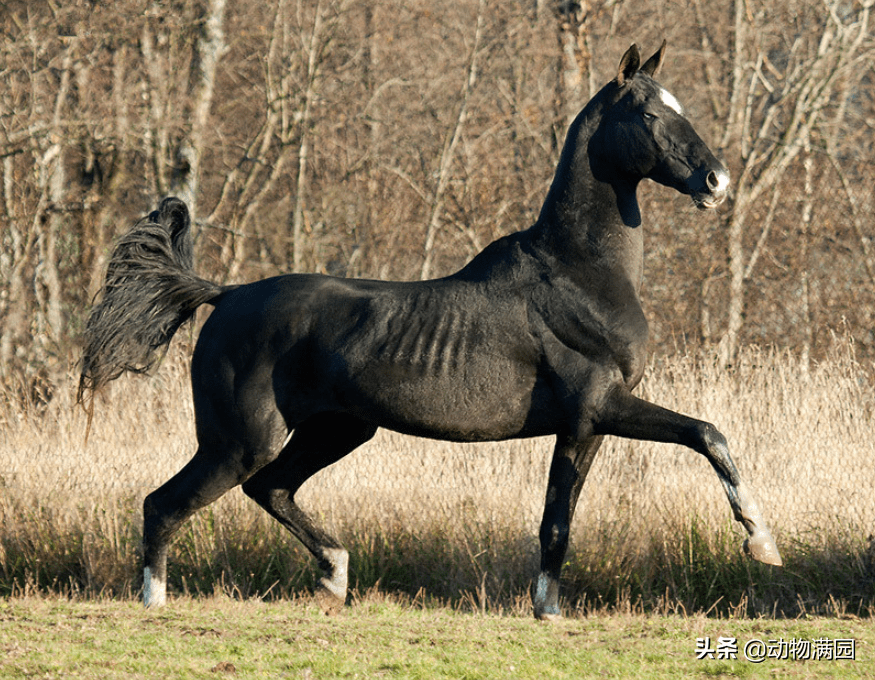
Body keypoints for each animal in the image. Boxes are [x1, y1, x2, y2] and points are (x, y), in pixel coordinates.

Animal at [80, 39, 780, 620]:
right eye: (651, 115)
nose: (716, 182)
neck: (579, 273)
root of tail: (224, 295)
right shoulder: (593, 410)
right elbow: (645, 469)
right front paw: (757, 542)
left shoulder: (595, 421)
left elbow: (677, 451)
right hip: (239, 439)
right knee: (166, 502)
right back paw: (155, 603)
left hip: (337, 430)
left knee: (269, 488)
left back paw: (335, 578)